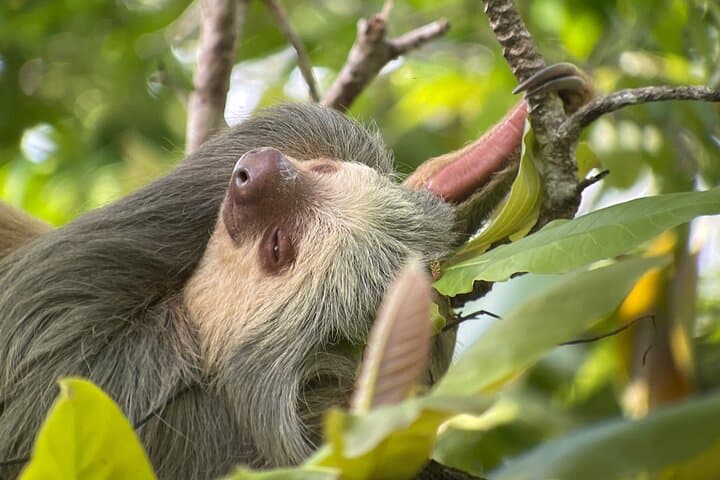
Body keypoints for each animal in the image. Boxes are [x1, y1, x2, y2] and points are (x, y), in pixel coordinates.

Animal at [0, 64, 590, 479]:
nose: (255, 171)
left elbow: (38, 305)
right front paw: (511, 138)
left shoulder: (102, 371)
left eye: (279, 248)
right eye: (322, 170)